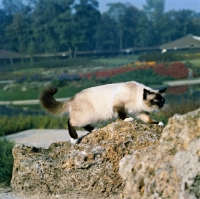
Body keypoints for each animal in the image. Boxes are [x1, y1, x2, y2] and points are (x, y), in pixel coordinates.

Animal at [39, 81, 167, 144]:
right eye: (155, 100)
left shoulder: (140, 112)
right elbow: (122, 114)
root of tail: (73, 98)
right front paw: (127, 119)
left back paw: (94, 129)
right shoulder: (119, 105)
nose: (161, 105)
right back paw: (74, 139)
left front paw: (159, 123)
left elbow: (149, 119)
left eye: (162, 100)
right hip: (85, 116)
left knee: (82, 124)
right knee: (70, 121)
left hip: (91, 117)